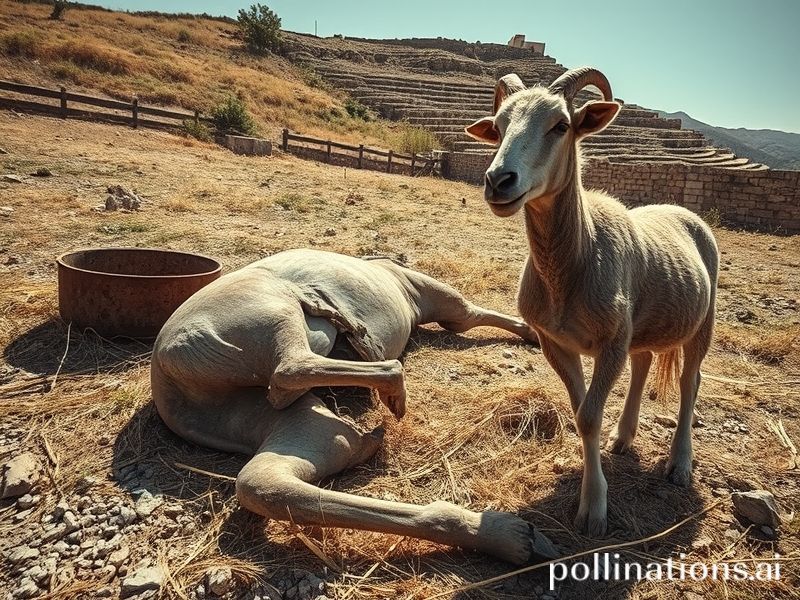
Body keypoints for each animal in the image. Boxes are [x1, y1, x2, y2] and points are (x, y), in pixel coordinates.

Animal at [464, 68, 719, 536]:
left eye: (561, 125)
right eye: (500, 127)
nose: (498, 181)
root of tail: (683, 210)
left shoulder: (611, 342)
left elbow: (588, 416)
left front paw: (594, 510)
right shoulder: (555, 342)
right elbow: (581, 412)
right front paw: (592, 487)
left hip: (702, 322)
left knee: (690, 383)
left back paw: (679, 463)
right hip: (642, 327)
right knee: (644, 363)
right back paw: (623, 437)